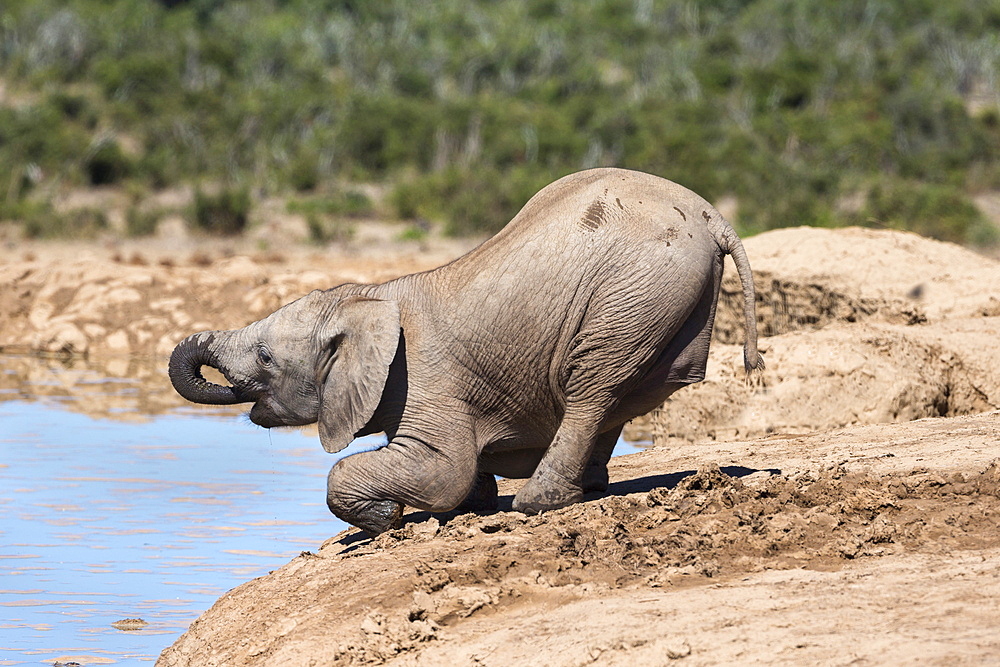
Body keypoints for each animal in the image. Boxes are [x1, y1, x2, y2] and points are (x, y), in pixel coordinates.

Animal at [174, 167, 764, 536]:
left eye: (266, 358)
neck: (364, 299)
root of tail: (711, 215)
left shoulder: (425, 380)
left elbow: (442, 470)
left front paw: (386, 519)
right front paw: (467, 505)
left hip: (635, 291)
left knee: (591, 386)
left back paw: (539, 504)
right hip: (661, 299)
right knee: (619, 392)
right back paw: (587, 488)